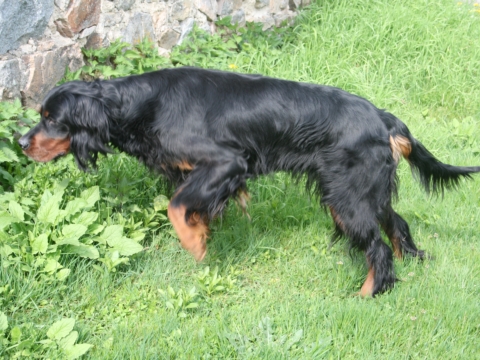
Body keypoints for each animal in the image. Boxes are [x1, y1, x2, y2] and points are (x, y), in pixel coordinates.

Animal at [17, 66, 480, 296]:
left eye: (51, 118)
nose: (21, 142)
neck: (142, 103)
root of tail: (382, 118)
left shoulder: (226, 162)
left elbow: (177, 207)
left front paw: (196, 245)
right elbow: (191, 204)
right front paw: (205, 230)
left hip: (347, 196)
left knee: (377, 248)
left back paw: (368, 294)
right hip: (362, 190)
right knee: (395, 223)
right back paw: (411, 261)